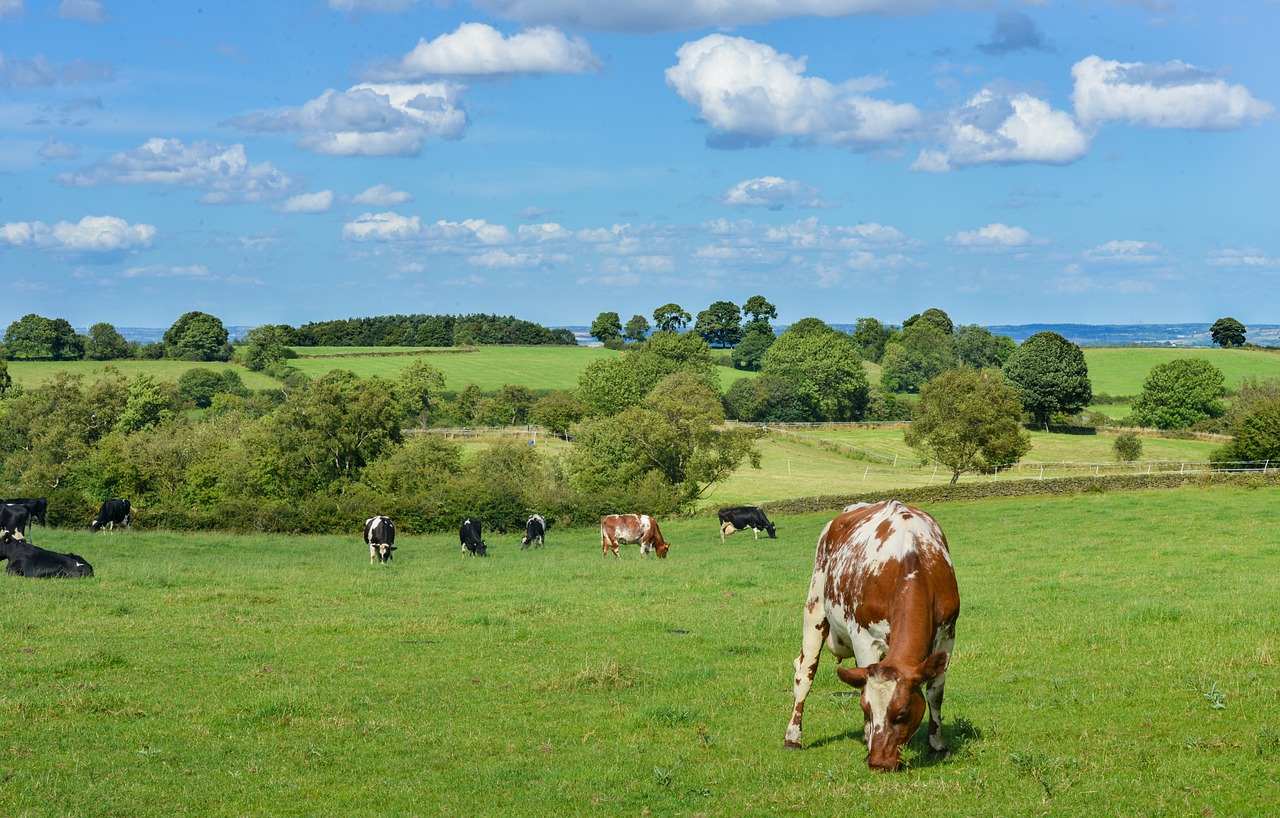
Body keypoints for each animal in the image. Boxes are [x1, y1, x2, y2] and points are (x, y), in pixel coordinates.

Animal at [778, 499, 962, 773]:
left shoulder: (948, 635)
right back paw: (793, 737)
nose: (878, 763)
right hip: (815, 608)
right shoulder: (864, 638)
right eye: (866, 707)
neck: (911, 559)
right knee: (804, 673)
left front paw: (938, 746)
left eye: (902, 713)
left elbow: (935, 694)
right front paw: (868, 741)